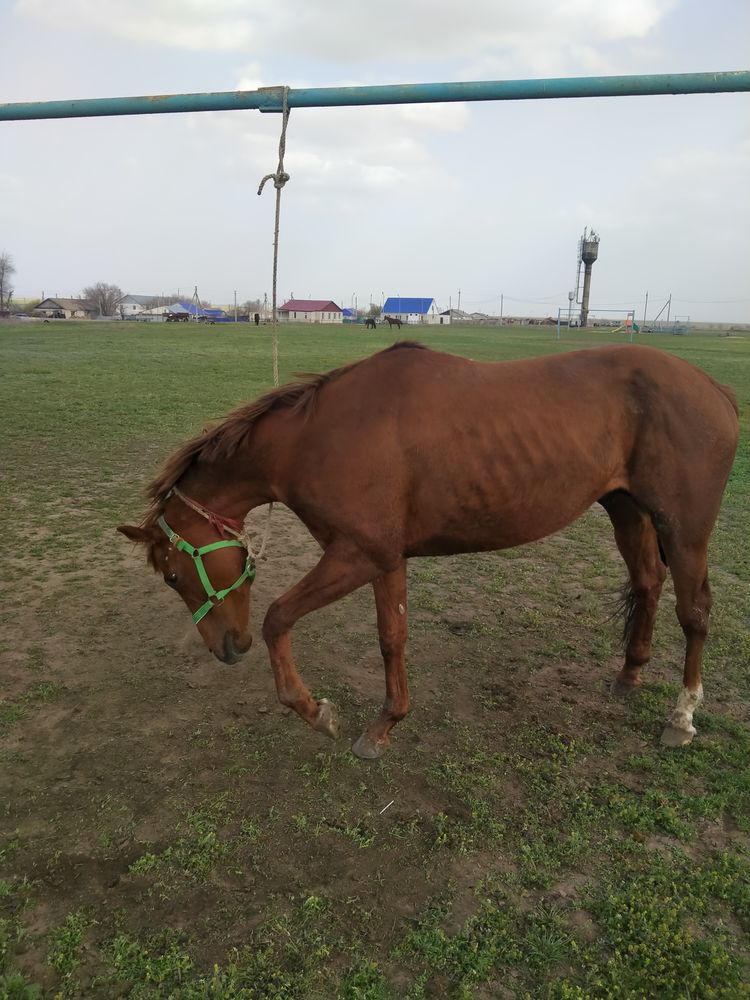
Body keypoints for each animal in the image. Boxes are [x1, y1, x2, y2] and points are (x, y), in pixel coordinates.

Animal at [119, 342, 740, 756]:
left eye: (173, 576)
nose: (226, 647)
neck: (317, 437)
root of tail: (716, 389)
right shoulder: (385, 558)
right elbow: (391, 638)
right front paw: (386, 723)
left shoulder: (358, 555)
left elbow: (278, 618)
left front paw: (316, 711)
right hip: (627, 509)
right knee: (647, 583)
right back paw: (629, 675)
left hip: (684, 530)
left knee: (694, 611)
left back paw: (682, 716)